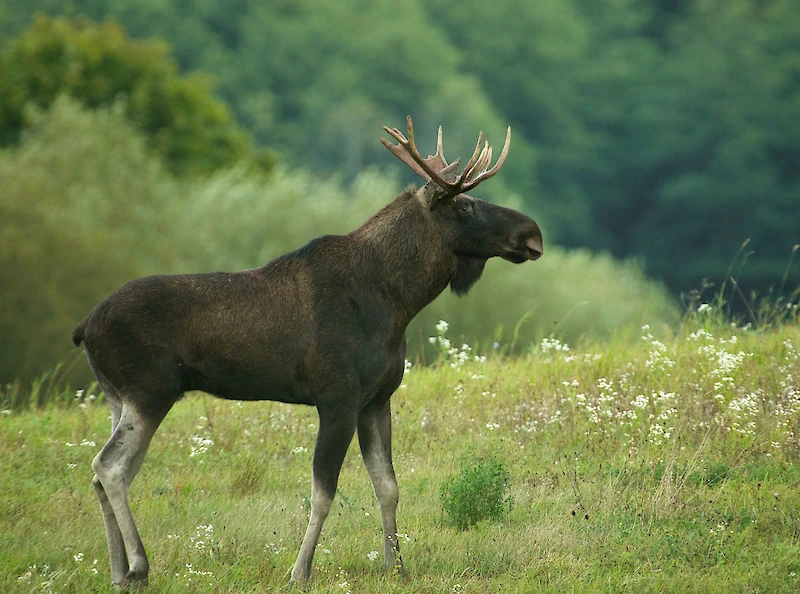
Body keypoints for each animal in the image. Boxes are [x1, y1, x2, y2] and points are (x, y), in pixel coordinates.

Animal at [73, 114, 544, 584]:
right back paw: (137, 565)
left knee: (108, 473)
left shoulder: (377, 400)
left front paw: (396, 566)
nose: (532, 232)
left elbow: (388, 487)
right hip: (150, 390)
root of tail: (85, 326)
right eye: (464, 205)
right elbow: (323, 492)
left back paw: (118, 572)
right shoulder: (337, 398)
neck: (397, 300)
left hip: (119, 397)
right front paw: (300, 570)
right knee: (109, 467)